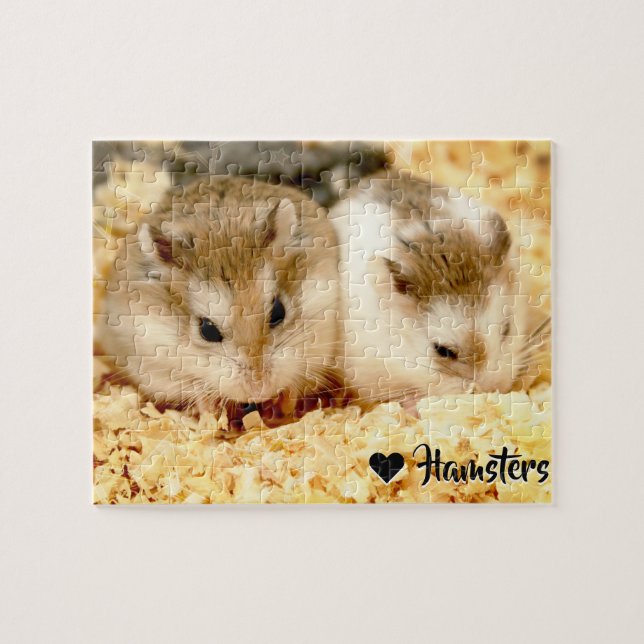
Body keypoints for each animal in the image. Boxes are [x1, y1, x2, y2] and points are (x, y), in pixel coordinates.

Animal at [96, 176, 344, 416]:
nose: (259, 391)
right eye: (207, 331)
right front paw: (211, 410)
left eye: (278, 313)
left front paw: (283, 405)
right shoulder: (156, 367)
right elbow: (193, 387)